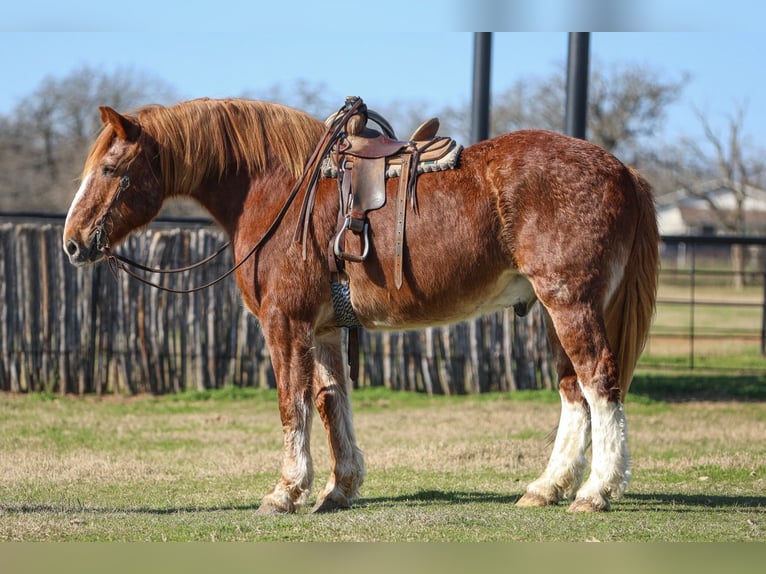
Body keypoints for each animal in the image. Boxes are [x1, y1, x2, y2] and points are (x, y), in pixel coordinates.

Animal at [63, 97, 660, 516]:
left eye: (111, 170)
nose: (72, 243)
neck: (277, 190)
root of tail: (621, 171)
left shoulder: (285, 326)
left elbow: (292, 405)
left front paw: (286, 492)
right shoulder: (326, 330)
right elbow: (332, 402)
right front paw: (339, 488)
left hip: (571, 304)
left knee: (600, 383)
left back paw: (597, 490)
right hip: (555, 311)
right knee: (573, 392)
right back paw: (547, 487)